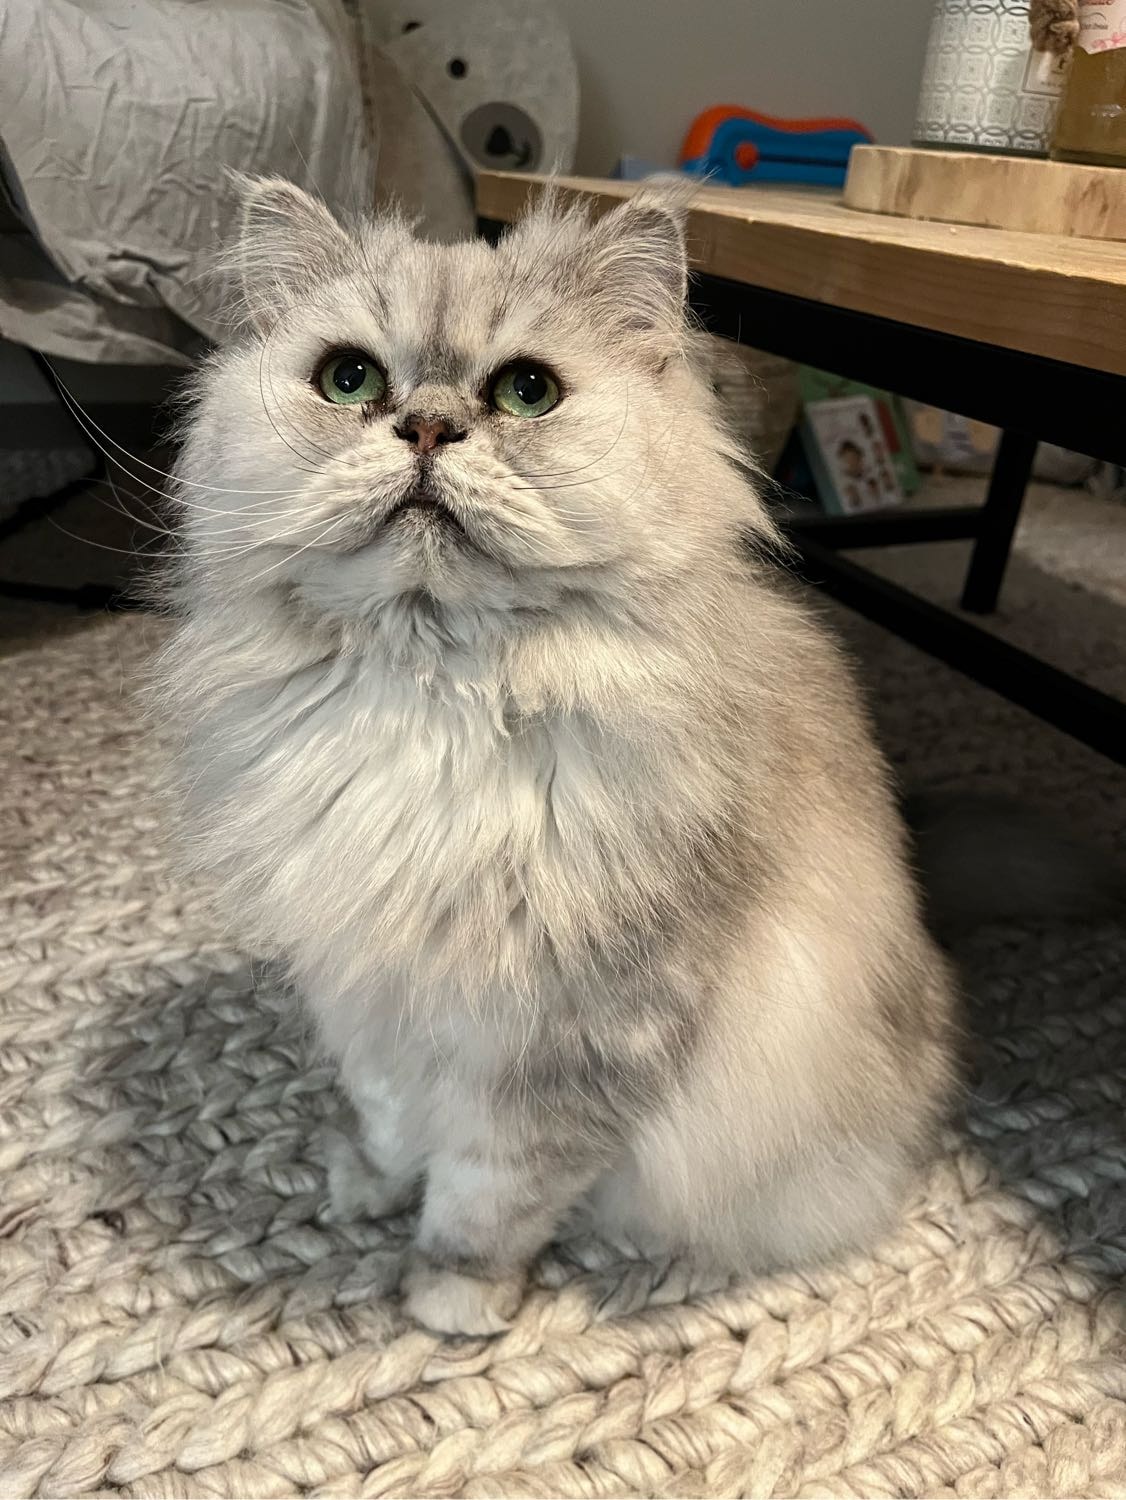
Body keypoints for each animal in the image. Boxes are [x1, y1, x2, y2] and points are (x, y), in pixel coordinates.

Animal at [153, 178, 958, 1336]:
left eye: (526, 393)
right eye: (350, 379)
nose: (428, 425)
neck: (430, 696)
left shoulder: (568, 1034)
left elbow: (488, 1190)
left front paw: (450, 1296)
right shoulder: (373, 990)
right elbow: (391, 1120)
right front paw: (366, 1190)